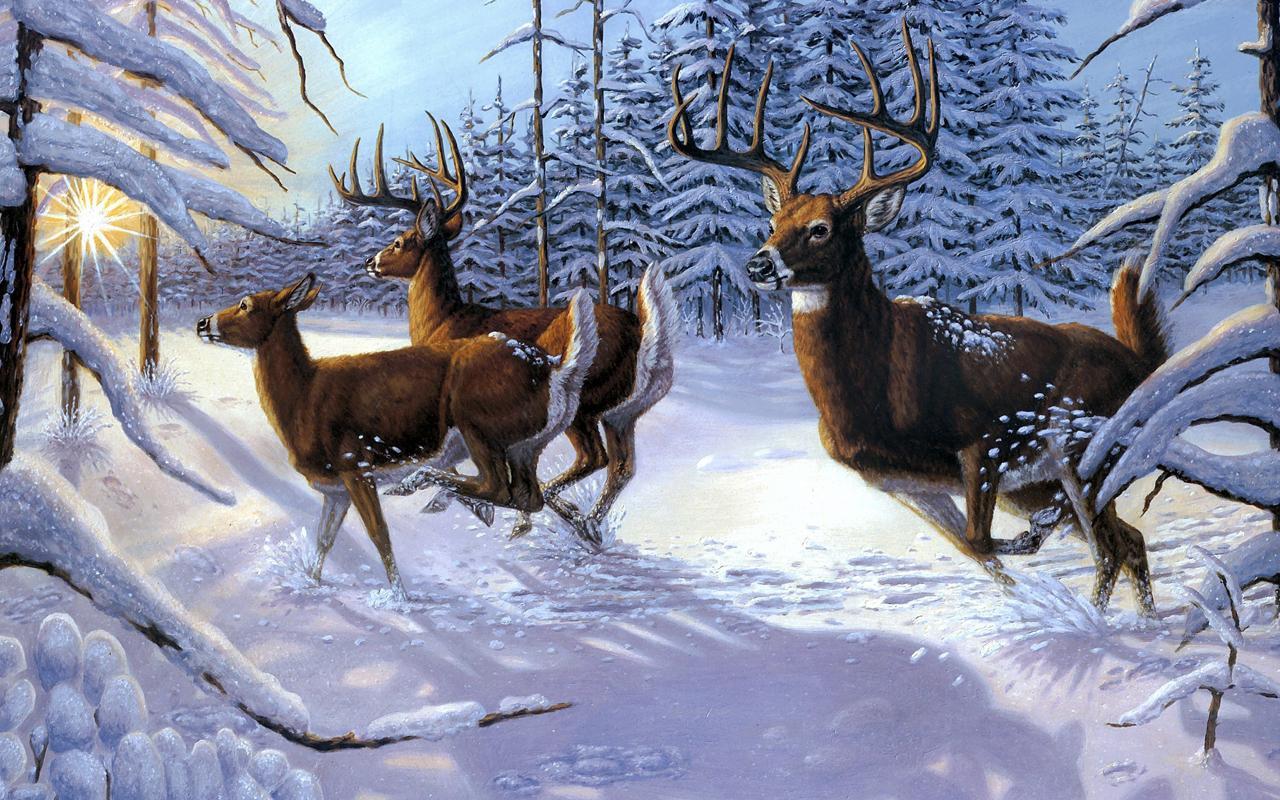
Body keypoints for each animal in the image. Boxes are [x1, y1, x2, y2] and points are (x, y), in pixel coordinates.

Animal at [196, 274, 598, 602]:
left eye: (246, 304)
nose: (202, 322)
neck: (304, 398)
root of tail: (555, 370)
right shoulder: (335, 488)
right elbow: (324, 538)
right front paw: (311, 582)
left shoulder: (355, 464)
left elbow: (379, 534)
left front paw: (400, 597)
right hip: (525, 445)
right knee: (527, 495)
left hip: (477, 422)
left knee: (499, 487)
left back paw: (421, 485)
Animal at [329, 116, 678, 546]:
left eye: (400, 241)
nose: (369, 262)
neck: (443, 321)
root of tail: (643, 333)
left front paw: (461, 504)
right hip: (623, 411)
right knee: (622, 466)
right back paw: (585, 525)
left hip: (586, 401)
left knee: (592, 457)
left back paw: (555, 515)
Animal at [668, 21, 1170, 614]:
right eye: (772, 221)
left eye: (820, 228)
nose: (757, 263)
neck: (874, 393)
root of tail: (1140, 364)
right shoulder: (902, 483)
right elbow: (973, 549)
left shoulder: (986, 440)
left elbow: (982, 540)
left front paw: (1032, 557)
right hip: (1045, 478)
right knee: (1125, 542)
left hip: (1085, 448)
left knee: (1111, 542)